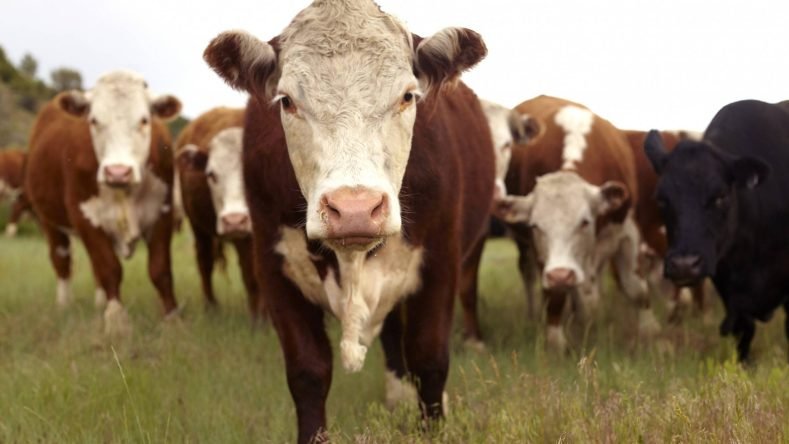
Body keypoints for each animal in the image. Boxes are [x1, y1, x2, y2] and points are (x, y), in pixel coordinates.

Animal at [24, 70, 182, 335]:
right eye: (94, 121)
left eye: (144, 120)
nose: (118, 172)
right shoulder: (85, 218)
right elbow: (109, 268)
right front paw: (116, 320)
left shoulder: (162, 213)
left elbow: (160, 269)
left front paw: (172, 318)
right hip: (49, 221)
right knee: (62, 259)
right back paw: (64, 304)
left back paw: (99, 303)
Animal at [175, 107, 262, 317]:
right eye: (211, 175)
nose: (234, 220)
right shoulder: (244, 238)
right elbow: (252, 277)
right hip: (199, 230)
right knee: (204, 262)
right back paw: (211, 307)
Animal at [203, 0, 492, 441]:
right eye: (286, 101)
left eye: (408, 96)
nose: (355, 208)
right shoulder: (274, 270)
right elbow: (307, 371)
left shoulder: (441, 261)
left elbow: (429, 359)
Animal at [495, 95, 661, 352]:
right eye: (535, 226)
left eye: (585, 221)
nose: (561, 275)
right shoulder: (545, 257)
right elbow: (554, 296)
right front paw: (556, 342)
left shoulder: (627, 231)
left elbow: (636, 288)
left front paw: (650, 333)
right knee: (529, 274)